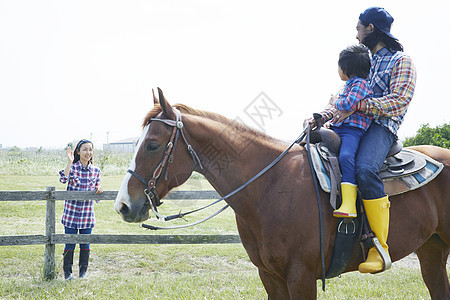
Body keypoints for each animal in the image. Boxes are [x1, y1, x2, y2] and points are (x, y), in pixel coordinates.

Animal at [115, 89, 450, 300]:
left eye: (153, 145)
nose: (123, 206)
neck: (270, 185)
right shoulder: (271, 277)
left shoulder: (301, 277)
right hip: (432, 251)